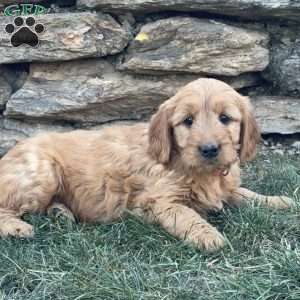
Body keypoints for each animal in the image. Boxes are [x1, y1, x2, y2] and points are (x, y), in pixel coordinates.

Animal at [0, 78, 294, 251]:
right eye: (188, 121)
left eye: (225, 118)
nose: (209, 149)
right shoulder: (162, 201)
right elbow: (189, 216)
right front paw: (208, 236)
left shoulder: (226, 189)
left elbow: (246, 194)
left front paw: (279, 200)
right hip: (42, 174)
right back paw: (17, 228)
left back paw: (61, 213)